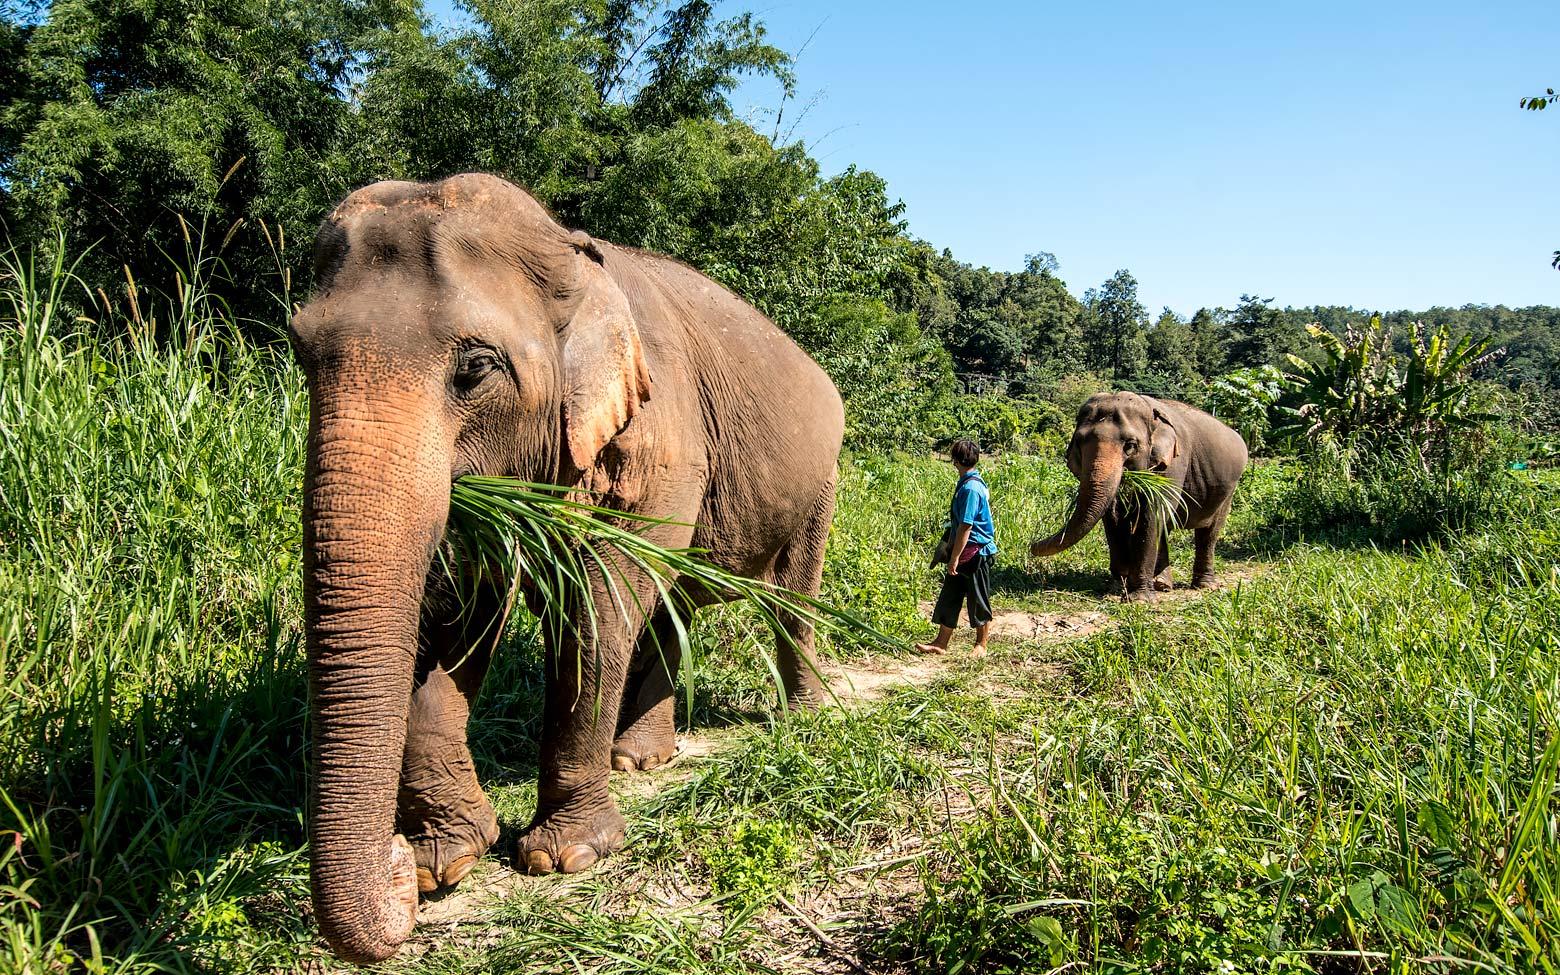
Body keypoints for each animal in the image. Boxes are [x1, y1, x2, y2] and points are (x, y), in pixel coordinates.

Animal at [293, 173, 848, 960]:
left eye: (475, 368)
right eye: (301, 353)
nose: (395, 872)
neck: (570, 251)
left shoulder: (660, 433)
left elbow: (600, 604)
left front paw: (564, 857)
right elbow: (458, 616)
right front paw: (444, 864)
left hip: (820, 476)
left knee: (789, 593)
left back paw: (802, 719)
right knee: (671, 606)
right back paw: (642, 761)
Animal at [1029, 391, 1248, 595]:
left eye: (1131, 445)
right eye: (1079, 443)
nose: (1031, 545)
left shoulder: (1175, 462)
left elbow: (1151, 515)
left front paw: (1140, 597)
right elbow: (1113, 518)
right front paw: (1116, 589)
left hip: (1229, 488)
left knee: (1209, 532)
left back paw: (1204, 586)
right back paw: (1162, 585)